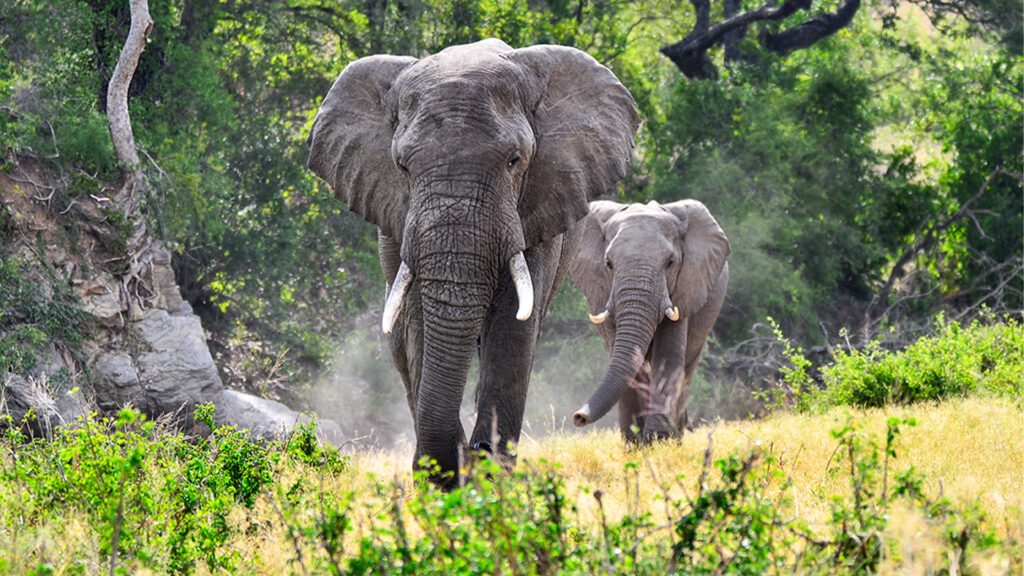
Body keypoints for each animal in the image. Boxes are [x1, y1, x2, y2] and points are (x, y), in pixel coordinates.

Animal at [305, 38, 638, 481]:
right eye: (402, 166)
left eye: (514, 160)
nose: (471, 451)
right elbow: (418, 325)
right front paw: (440, 478)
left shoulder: (540, 206)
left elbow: (514, 327)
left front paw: (492, 475)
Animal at [569, 196, 729, 438]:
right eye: (608, 264)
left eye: (670, 263)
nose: (578, 417)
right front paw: (636, 442)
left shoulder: (684, 288)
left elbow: (667, 357)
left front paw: (657, 439)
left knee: (687, 369)